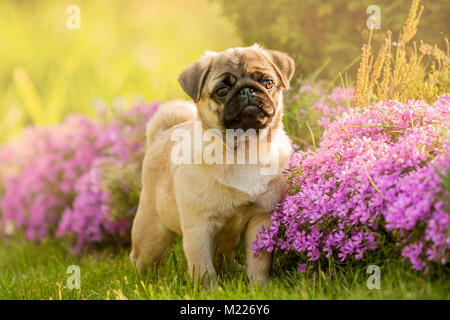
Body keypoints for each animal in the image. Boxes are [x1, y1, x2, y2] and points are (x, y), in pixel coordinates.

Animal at [129, 43, 296, 284]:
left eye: (268, 83)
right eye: (222, 91)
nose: (247, 90)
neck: (245, 150)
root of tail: (161, 134)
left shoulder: (261, 218)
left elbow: (259, 261)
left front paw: (260, 285)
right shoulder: (198, 229)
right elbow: (203, 268)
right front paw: (209, 289)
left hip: (227, 236)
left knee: (224, 255)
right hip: (153, 232)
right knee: (141, 257)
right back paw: (140, 280)